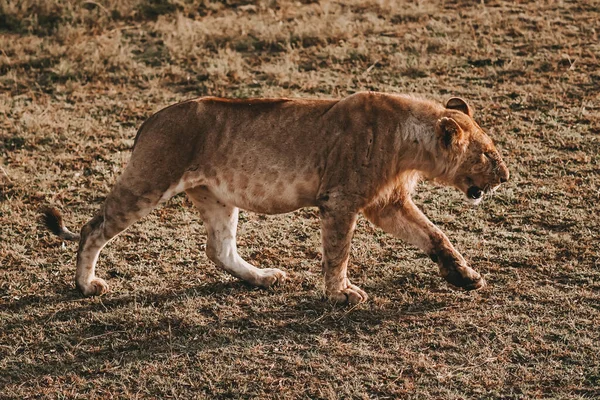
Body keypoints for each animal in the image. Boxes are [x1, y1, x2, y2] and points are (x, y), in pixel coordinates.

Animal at [44, 92, 508, 304]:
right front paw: (340, 294)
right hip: (149, 180)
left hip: (216, 197)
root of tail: (151, 119)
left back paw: (264, 278)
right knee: (92, 228)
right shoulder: (340, 200)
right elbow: (338, 252)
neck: (409, 142)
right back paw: (86, 285)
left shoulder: (386, 203)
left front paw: (466, 277)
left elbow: (435, 236)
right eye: (487, 153)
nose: (505, 176)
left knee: (219, 249)